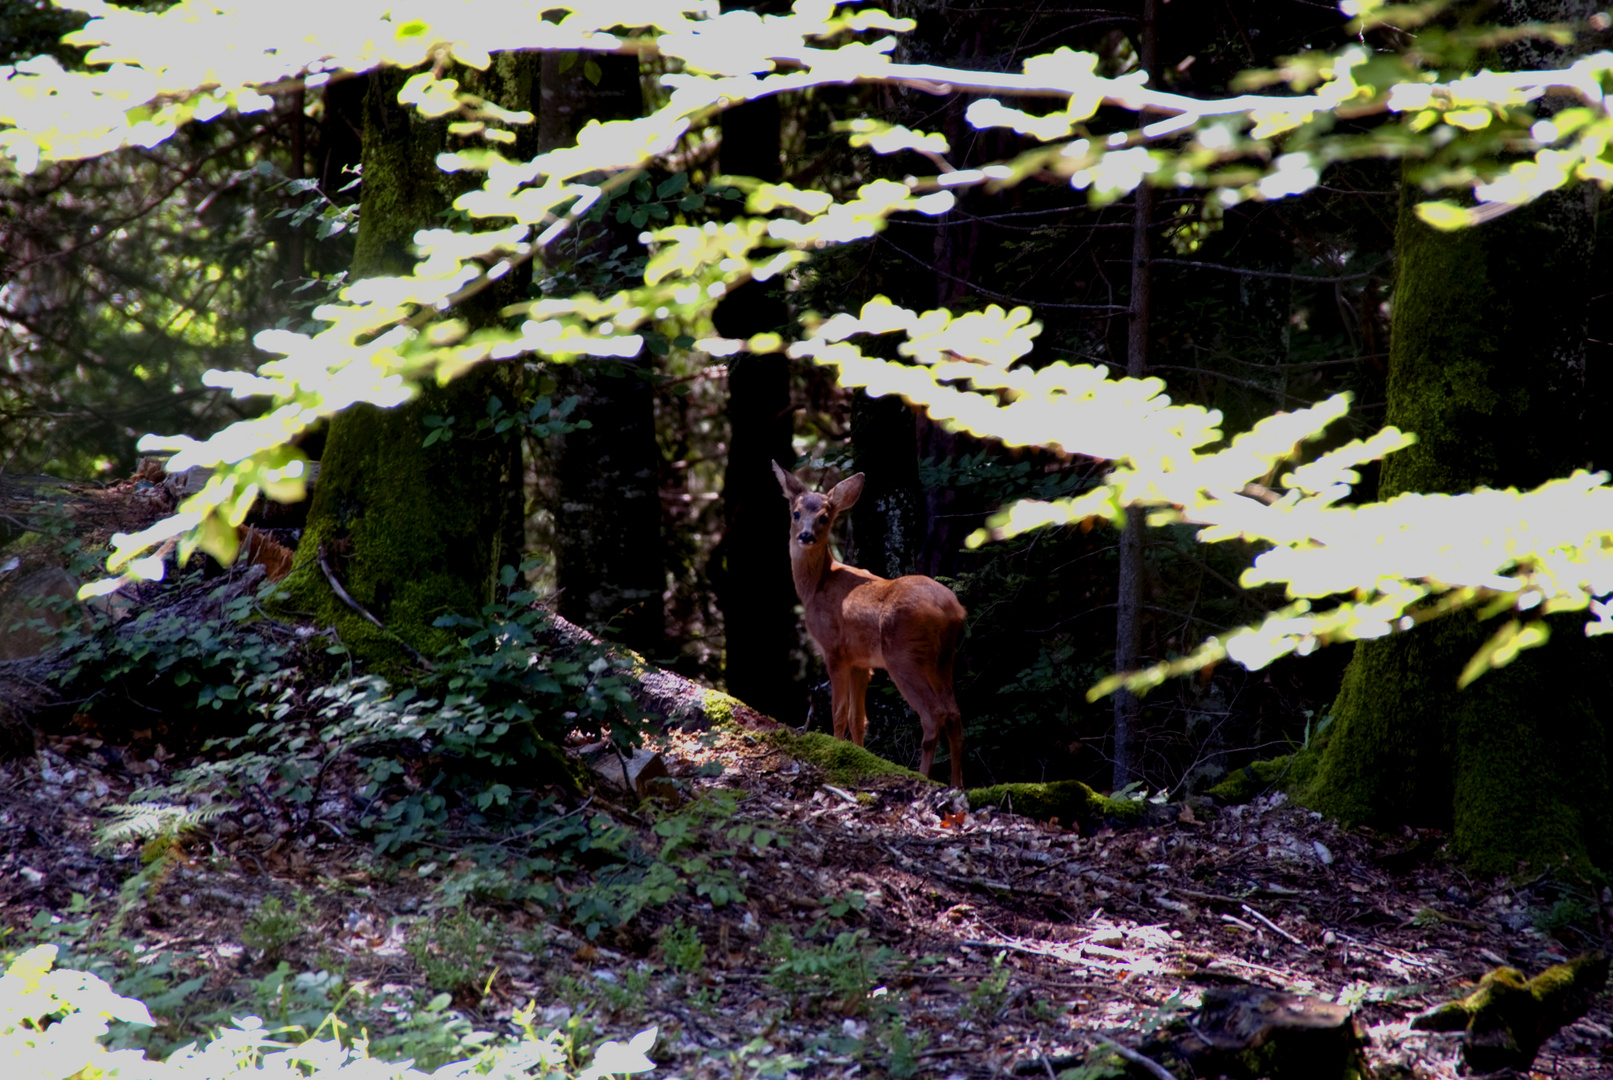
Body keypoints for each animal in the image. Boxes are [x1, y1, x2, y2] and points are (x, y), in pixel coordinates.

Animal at [771, 464, 961, 786]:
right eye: (796, 513)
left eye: (824, 517)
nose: (806, 536)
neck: (817, 586)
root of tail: (954, 610)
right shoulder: (861, 661)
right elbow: (858, 718)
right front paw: (858, 756)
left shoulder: (834, 650)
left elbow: (838, 713)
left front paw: (835, 753)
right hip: (944, 659)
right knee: (955, 713)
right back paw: (958, 784)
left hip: (904, 656)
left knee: (934, 714)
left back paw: (923, 777)